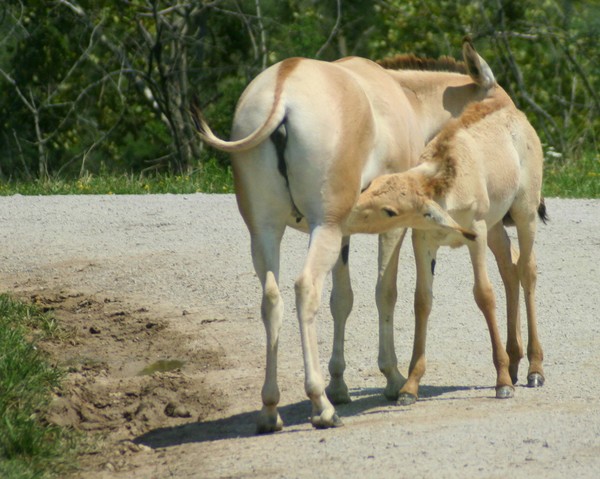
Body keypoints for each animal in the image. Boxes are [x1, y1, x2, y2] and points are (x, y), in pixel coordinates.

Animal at [346, 93, 548, 402]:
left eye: (390, 210)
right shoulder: (424, 241)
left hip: (524, 214)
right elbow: (422, 300)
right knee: (509, 270)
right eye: (371, 186)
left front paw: (502, 382)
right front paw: (410, 386)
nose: (346, 214)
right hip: (495, 226)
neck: (448, 185)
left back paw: (533, 369)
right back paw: (514, 361)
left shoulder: (476, 235)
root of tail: (517, 115)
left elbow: (484, 295)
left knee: (527, 270)